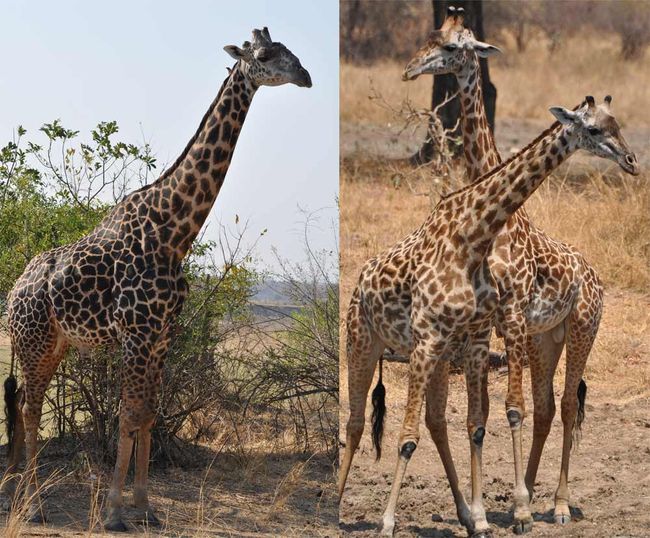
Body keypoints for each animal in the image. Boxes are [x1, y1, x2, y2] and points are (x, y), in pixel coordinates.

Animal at [1, 27, 311, 531]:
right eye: (266, 55)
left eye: (291, 52)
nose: (305, 75)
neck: (174, 232)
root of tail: (13, 293)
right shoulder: (137, 333)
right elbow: (128, 415)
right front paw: (113, 512)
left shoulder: (164, 333)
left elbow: (147, 415)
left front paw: (145, 508)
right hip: (33, 339)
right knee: (29, 407)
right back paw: (34, 504)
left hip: (54, 344)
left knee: (25, 399)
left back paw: (19, 494)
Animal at [340, 94, 638, 537]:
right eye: (595, 129)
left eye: (617, 124)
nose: (632, 161)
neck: (475, 237)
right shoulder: (431, 339)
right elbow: (409, 435)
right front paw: (388, 522)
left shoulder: (477, 336)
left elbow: (478, 424)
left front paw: (485, 517)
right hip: (363, 341)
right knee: (358, 422)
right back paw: (332, 505)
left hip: (569, 330)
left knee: (552, 406)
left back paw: (544, 506)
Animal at [400, 7, 615, 532]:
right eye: (431, 37)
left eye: (453, 47)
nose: (411, 70)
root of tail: (596, 276)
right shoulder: (497, 324)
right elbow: (490, 414)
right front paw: (502, 506)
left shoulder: (510, 316)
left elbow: (508, 409)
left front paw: (515, 509)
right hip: (545, 338)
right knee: (544, 406)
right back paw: (531, 492)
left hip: (582, 328)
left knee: (563, 405)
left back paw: (557, 505)